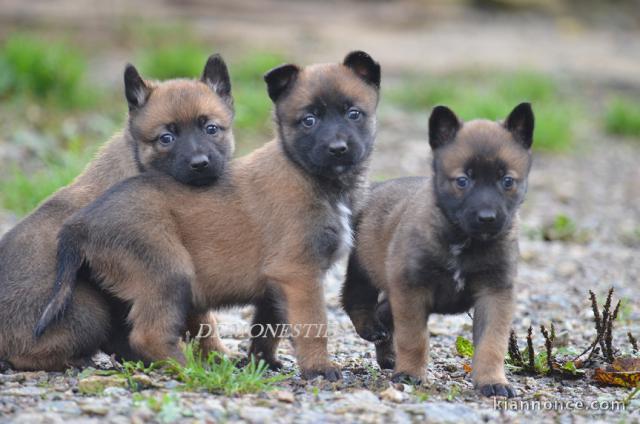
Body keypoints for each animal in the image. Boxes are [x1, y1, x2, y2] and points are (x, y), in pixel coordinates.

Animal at [0, 53, 235, 372]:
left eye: (211, 128)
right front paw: (218, 357)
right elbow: (204, 321)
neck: (138, 164)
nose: (200, 163)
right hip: (88, 308)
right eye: (166, 138)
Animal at [35, 51, 380, 380]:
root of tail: (80, 222)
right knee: (148, 334)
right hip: (169, 272)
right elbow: (312, 325)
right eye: (308, 121)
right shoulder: (298, 273)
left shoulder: (275, 282)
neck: (308, 174)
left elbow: (267, 329)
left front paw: (261, 364)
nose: (338, 148)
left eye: (353, 114)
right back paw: (189, 367)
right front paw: (319, 368)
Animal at [340, 102, 536, 398]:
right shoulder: (412, 289)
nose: (487, 218)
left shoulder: (495, 293)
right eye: (463, 181)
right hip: (364, 266)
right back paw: (372, 329)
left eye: (507, 181)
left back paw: (388, 355)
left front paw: (492, 381)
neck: (464, 241)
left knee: (385, 311)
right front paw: (411, 373)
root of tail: (373, 189)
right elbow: (414, 338)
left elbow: (492, 344)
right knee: (356, 298)